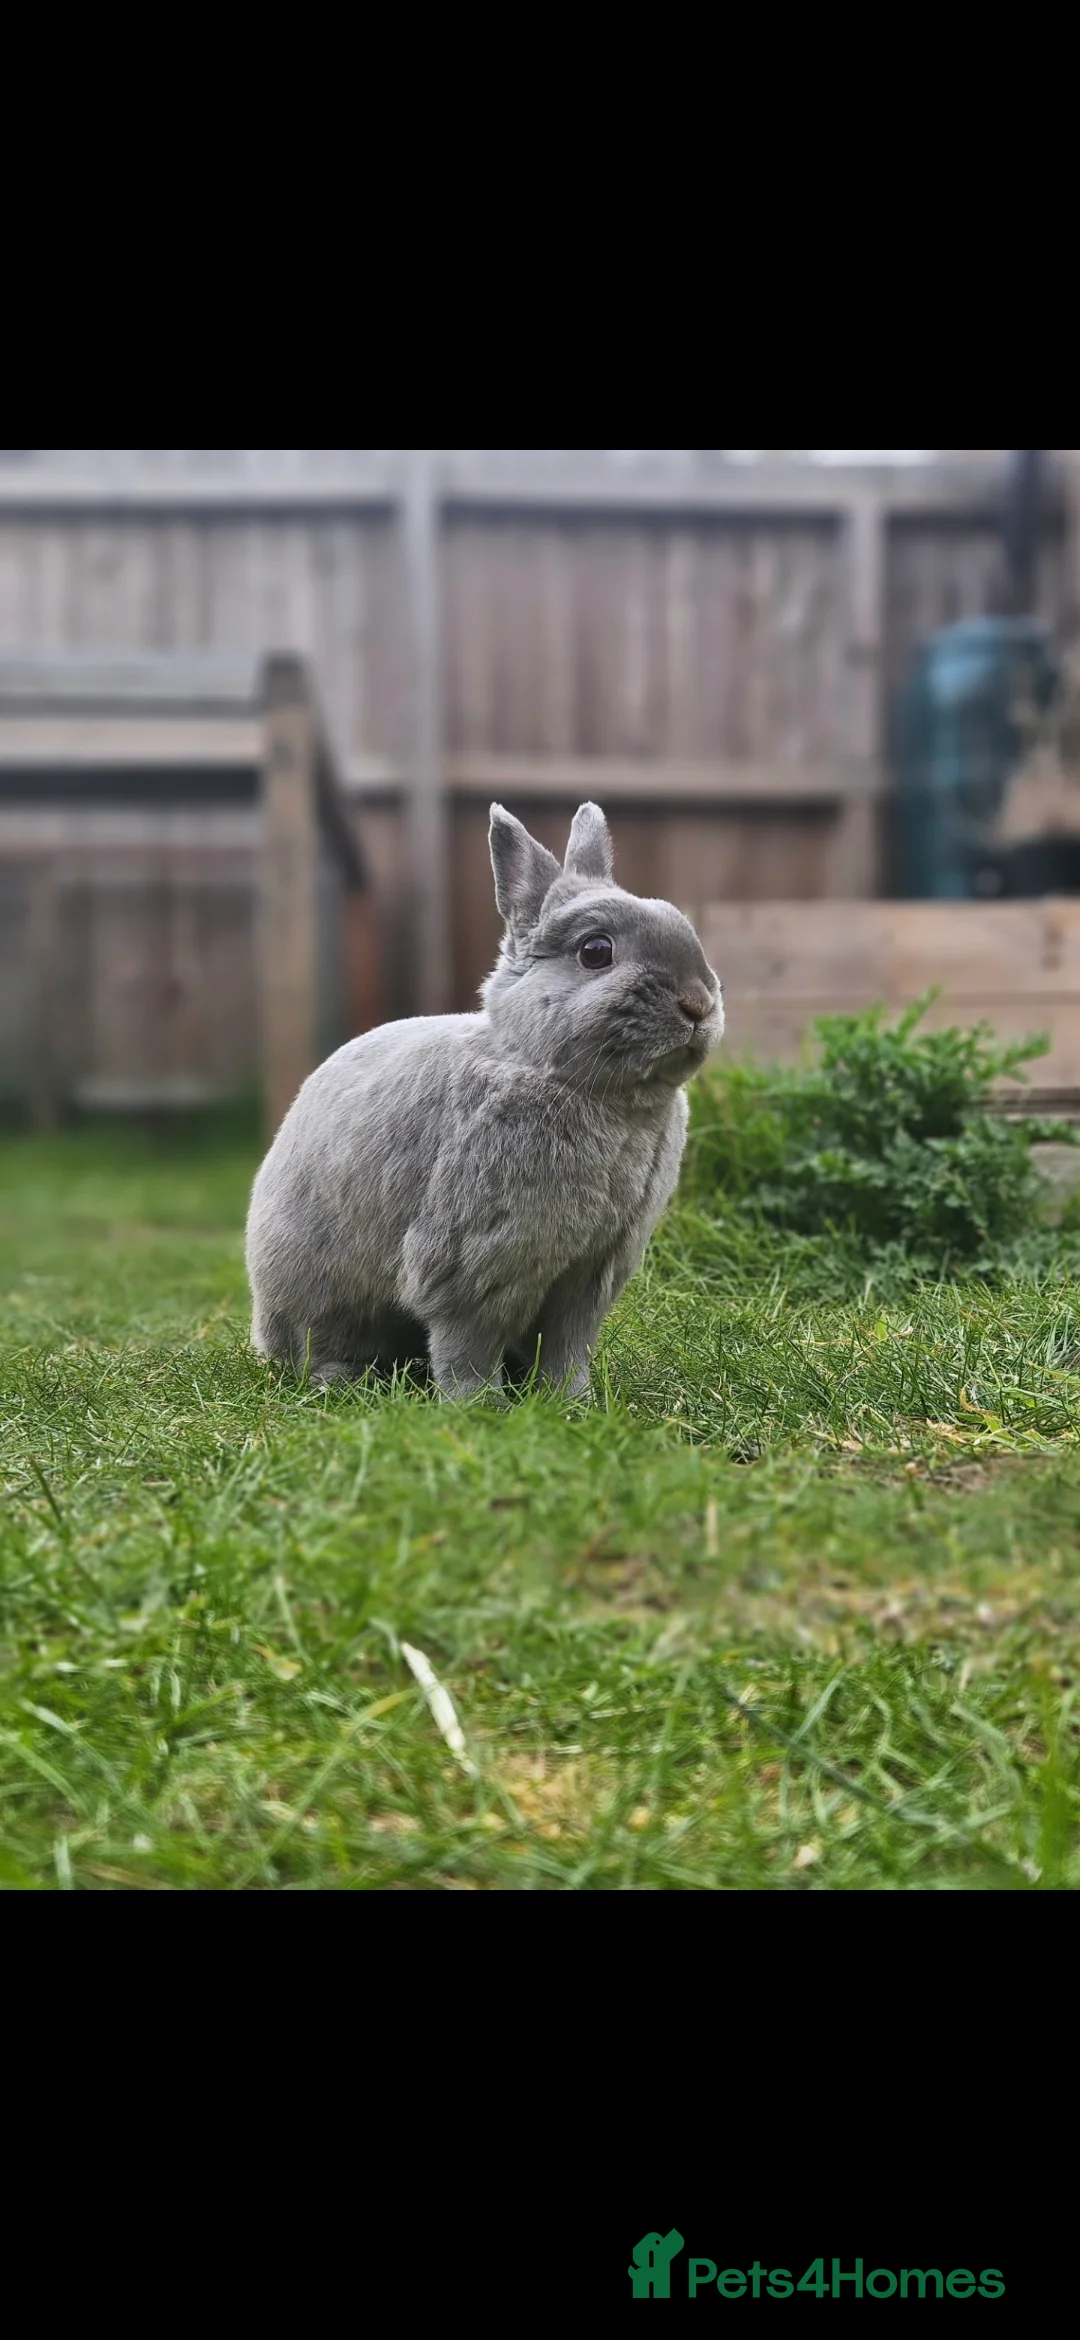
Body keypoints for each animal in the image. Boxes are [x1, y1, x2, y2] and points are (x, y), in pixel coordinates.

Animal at [245, 801, 723, 1400]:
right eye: (596, 952)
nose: (698, 1004)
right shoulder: (476, 1265)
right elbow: (466, 1345)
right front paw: (478, 1405)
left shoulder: (590, 1273)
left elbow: (567, 1346)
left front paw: (573, 1401)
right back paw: (340, 1379)